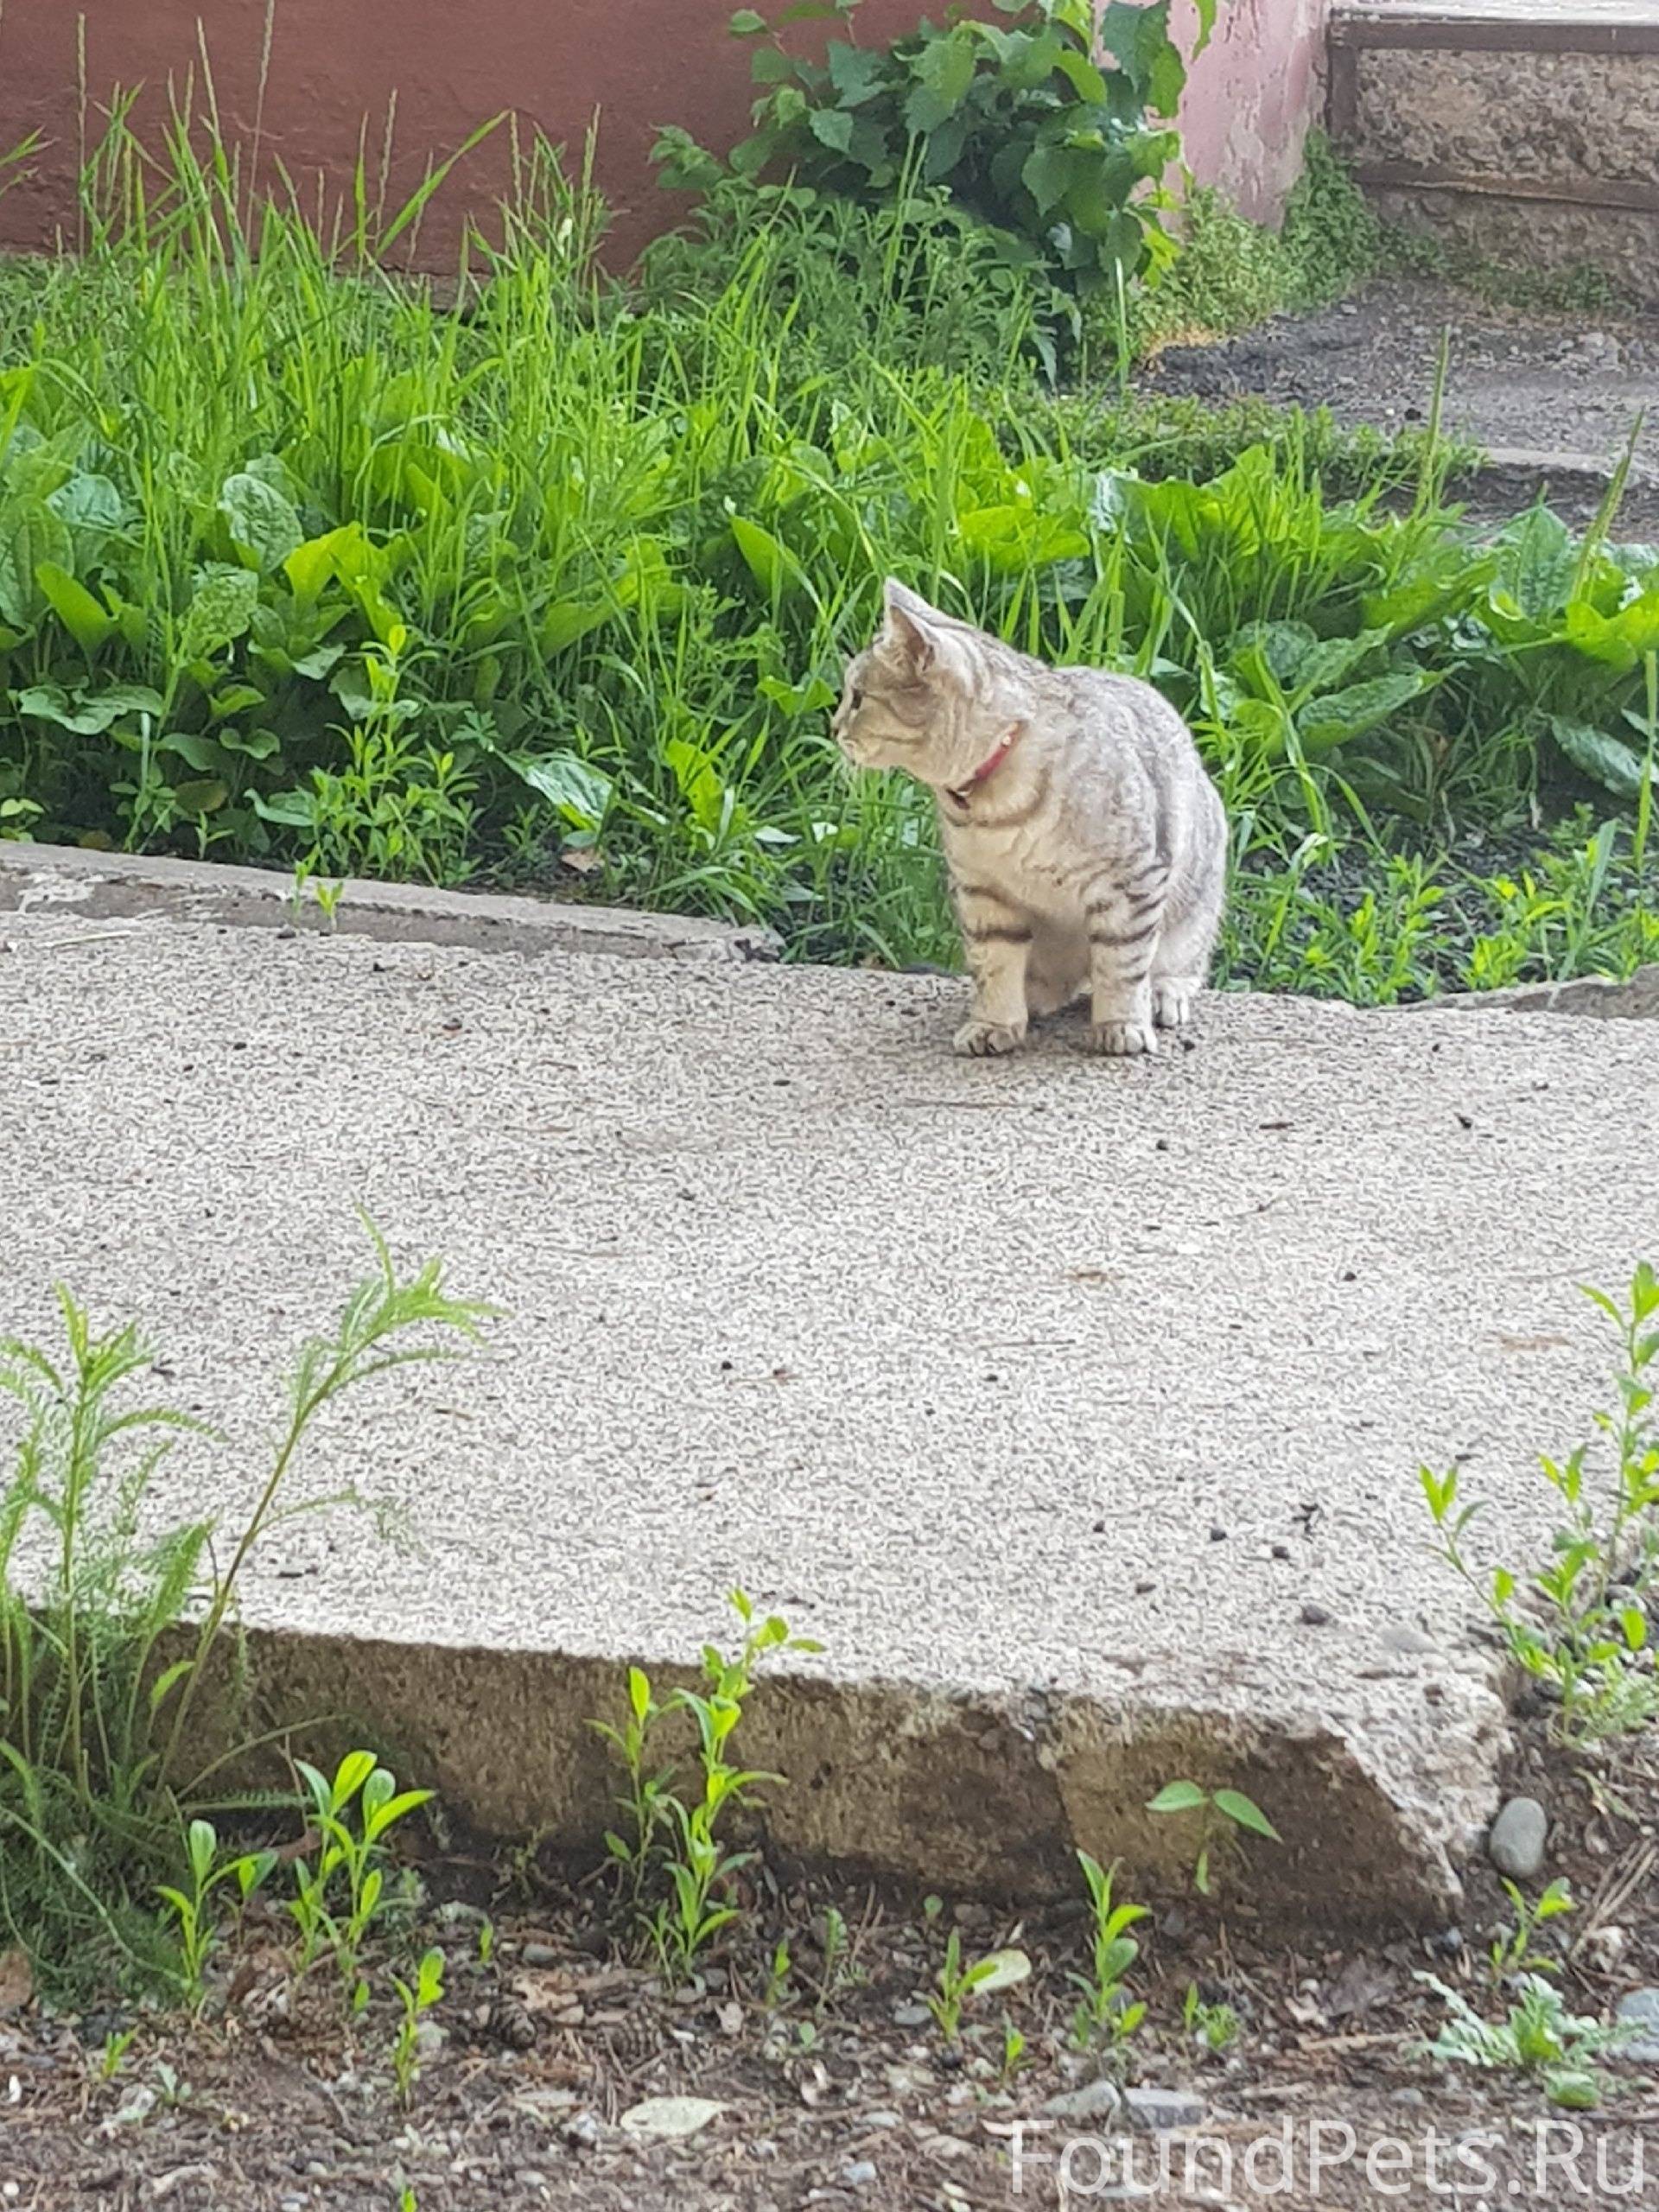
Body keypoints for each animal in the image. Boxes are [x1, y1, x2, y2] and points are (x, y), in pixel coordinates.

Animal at [836, 579, 1230, 1061]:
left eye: (857, 698)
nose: (835, 727)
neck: (993, 807)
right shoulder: (983, 893)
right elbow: (995, 963)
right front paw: (994, 1022)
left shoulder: (1130, 884)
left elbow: (1121, 964)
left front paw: (1120, 1024)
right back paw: (1035, 995)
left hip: (1194, 904)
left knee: (1178, 963)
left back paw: (1162, 993)